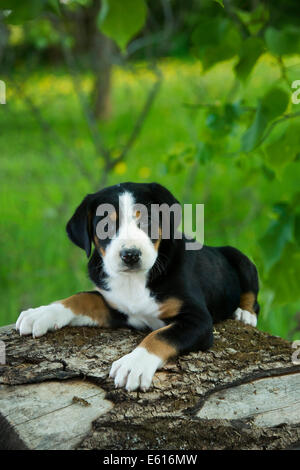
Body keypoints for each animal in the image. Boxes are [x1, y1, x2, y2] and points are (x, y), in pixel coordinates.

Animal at [17, 182, 260, 392]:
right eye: (106, 226)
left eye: (147, 221)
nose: (130, 255)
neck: (134, 281)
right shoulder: (117, 308)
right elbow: (83, 298)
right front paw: (41, 313)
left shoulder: (197, 319)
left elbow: (160, 335)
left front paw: (134, 364)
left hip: (239, 257)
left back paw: (245, 314)